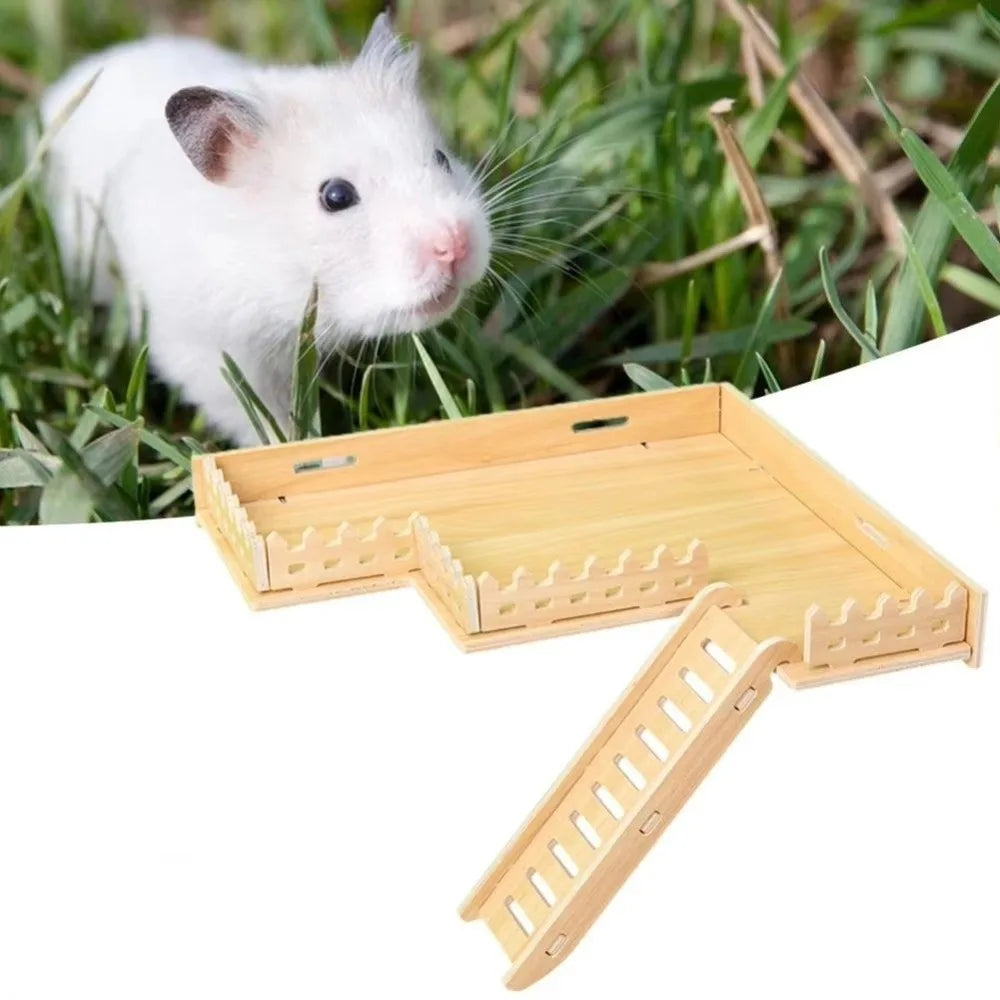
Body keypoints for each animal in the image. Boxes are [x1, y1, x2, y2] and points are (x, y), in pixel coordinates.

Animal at [37, 14, 491, 446]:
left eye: (442, 158)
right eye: (336, 196)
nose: (456, 245)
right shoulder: (210, 350)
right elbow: (258, 415)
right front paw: (294, 444)